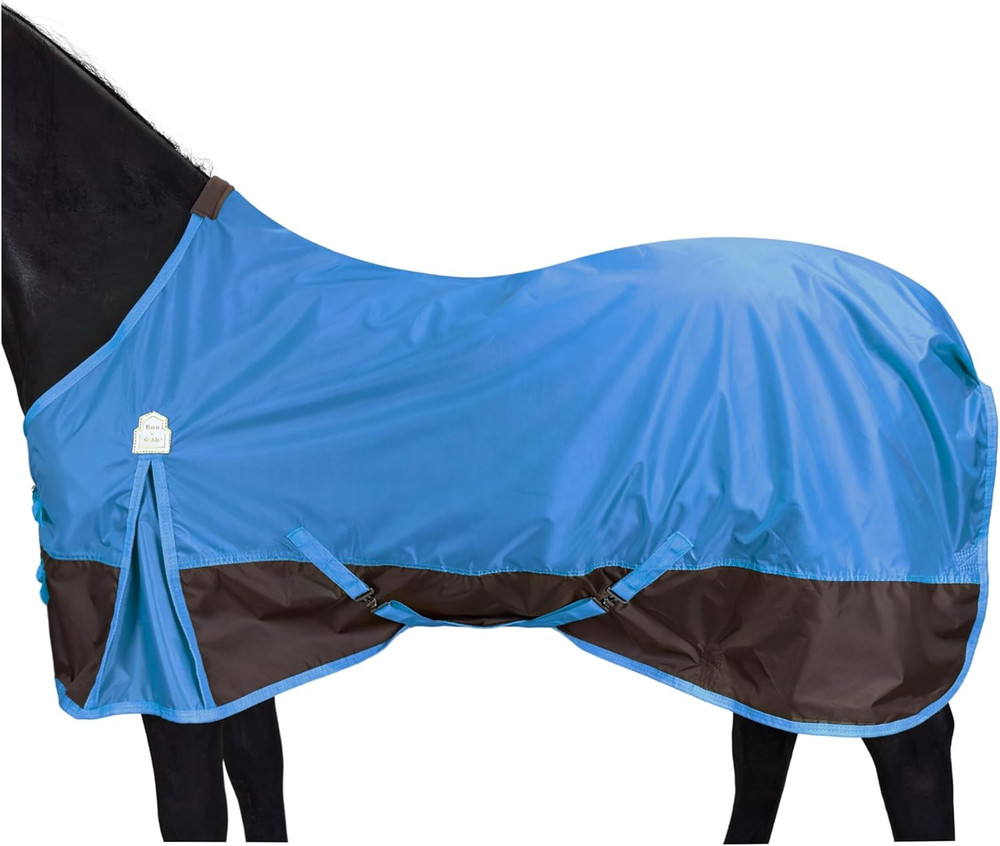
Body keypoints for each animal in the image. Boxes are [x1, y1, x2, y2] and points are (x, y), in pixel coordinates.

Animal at [2, 5, 982, 842]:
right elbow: (262, 790)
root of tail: (930, 325)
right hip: (771, 611)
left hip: (863, 619)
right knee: (767, 743)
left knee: (912, 763)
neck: (132, 301)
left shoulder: (155, 664)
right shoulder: (230, 647)